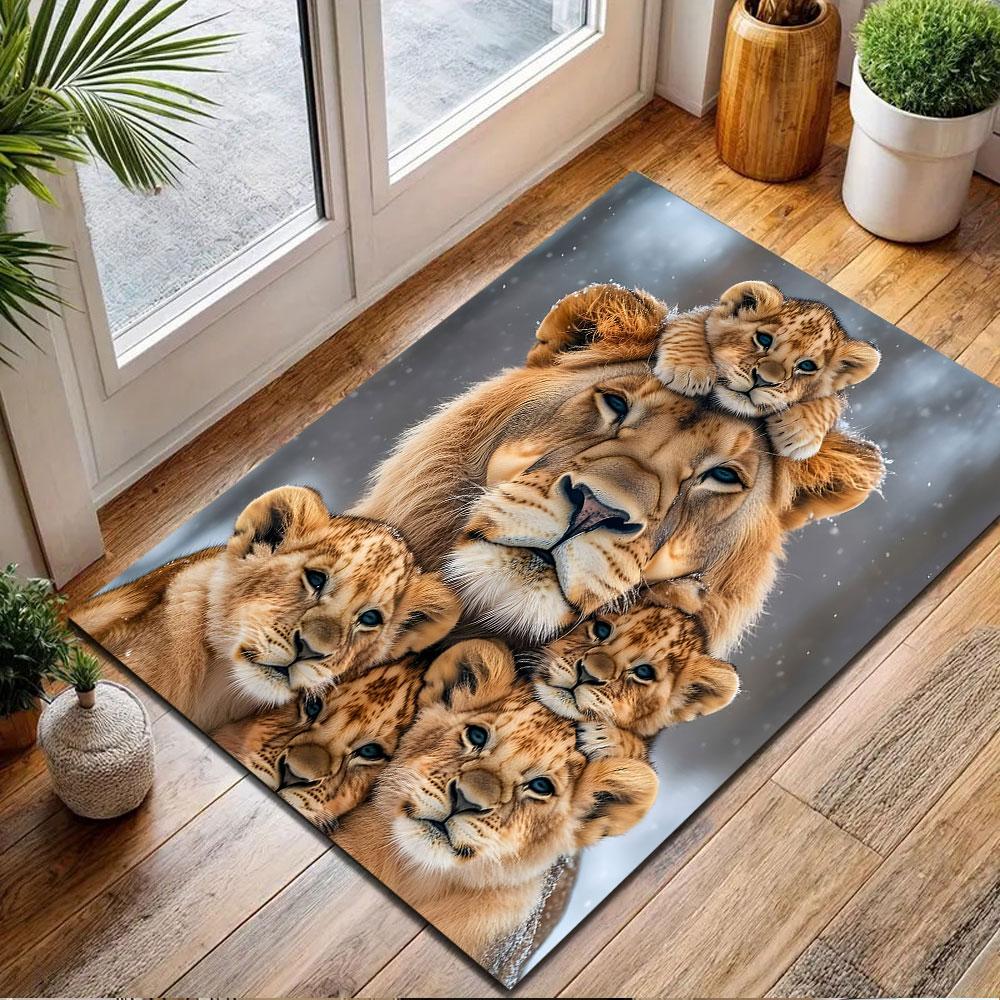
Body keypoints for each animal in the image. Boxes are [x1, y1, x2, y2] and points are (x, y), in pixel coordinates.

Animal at [654, 280, 881, 460]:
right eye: (763, 339)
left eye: (806, 366)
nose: (763, 380)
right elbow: (689, 325)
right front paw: (688, 370)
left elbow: (832, 400)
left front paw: (797, 431)